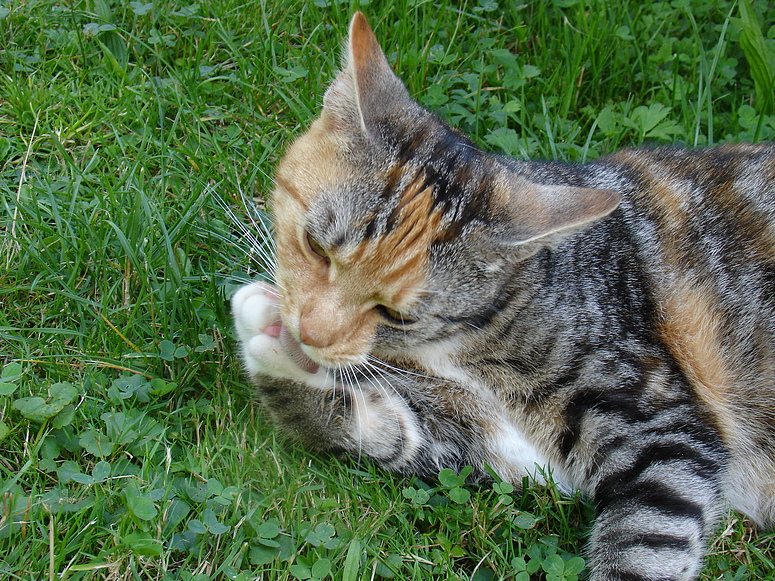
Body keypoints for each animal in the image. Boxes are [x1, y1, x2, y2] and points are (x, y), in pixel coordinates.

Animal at [230, 10, 775, 580]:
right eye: (316, 247)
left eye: (396, 315)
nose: (310, 334)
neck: (474, 333)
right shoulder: (520, 457)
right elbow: (389, 432)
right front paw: (276, 349)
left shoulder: (662, 424)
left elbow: (646, 541)